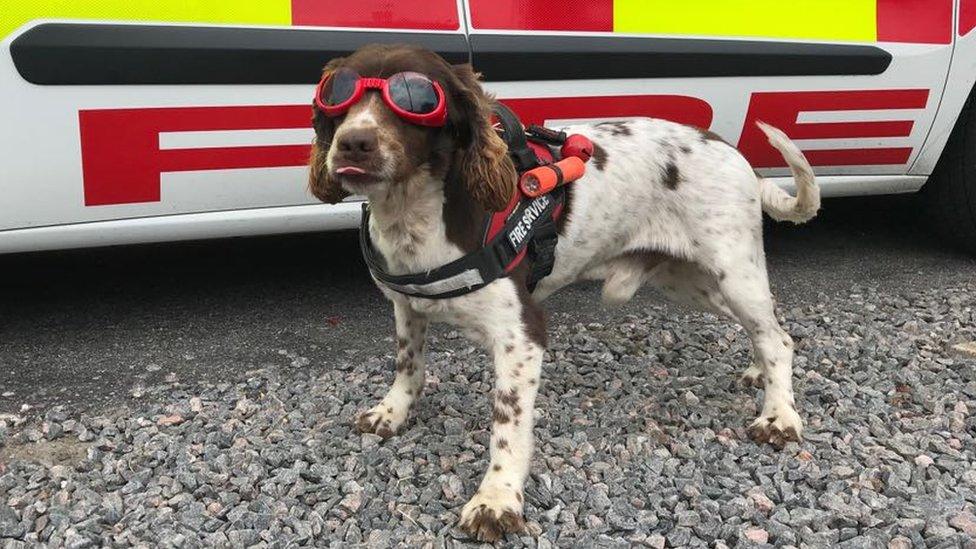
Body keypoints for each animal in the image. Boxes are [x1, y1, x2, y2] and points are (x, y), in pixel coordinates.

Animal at [306, 44, 824, 540]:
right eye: (337, 97)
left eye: (416, 99)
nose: (354, 143)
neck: (414, 214)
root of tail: (736, 155)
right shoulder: (407, 307)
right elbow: (407, 366)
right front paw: (391, 413)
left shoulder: (521, 335)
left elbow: (507, 425)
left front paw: (496, 502)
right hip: (689, 281)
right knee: (767, 328)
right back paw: (760, 374)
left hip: (733, 271)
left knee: (777, 337)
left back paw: (780, 417)